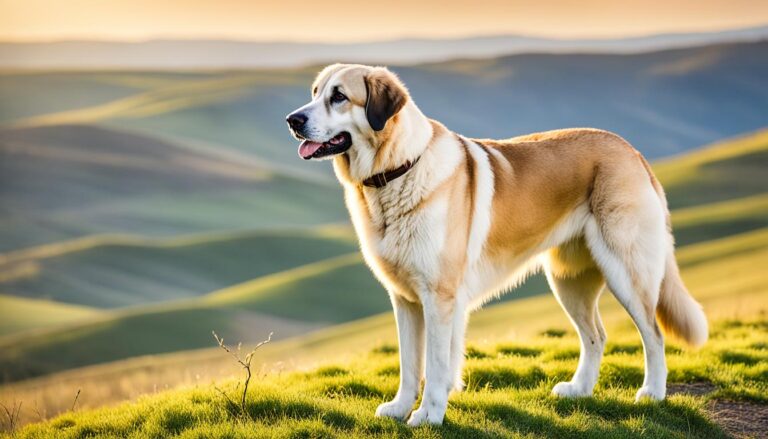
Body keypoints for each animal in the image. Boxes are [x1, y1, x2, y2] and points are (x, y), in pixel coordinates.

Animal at [286, 63, 708, 428]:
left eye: (339, 96)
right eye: (315, 93)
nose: (293, 120)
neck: (398, 169)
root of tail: (632, 151)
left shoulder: (438, 297)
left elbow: (435, 365)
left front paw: (428, 415)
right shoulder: (405, 299)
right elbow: (409, 364)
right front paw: (401, 408)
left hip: (627, 272)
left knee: (653, 334)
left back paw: (652, 393)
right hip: (568, 281)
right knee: (596, 336)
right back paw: (579, 390)